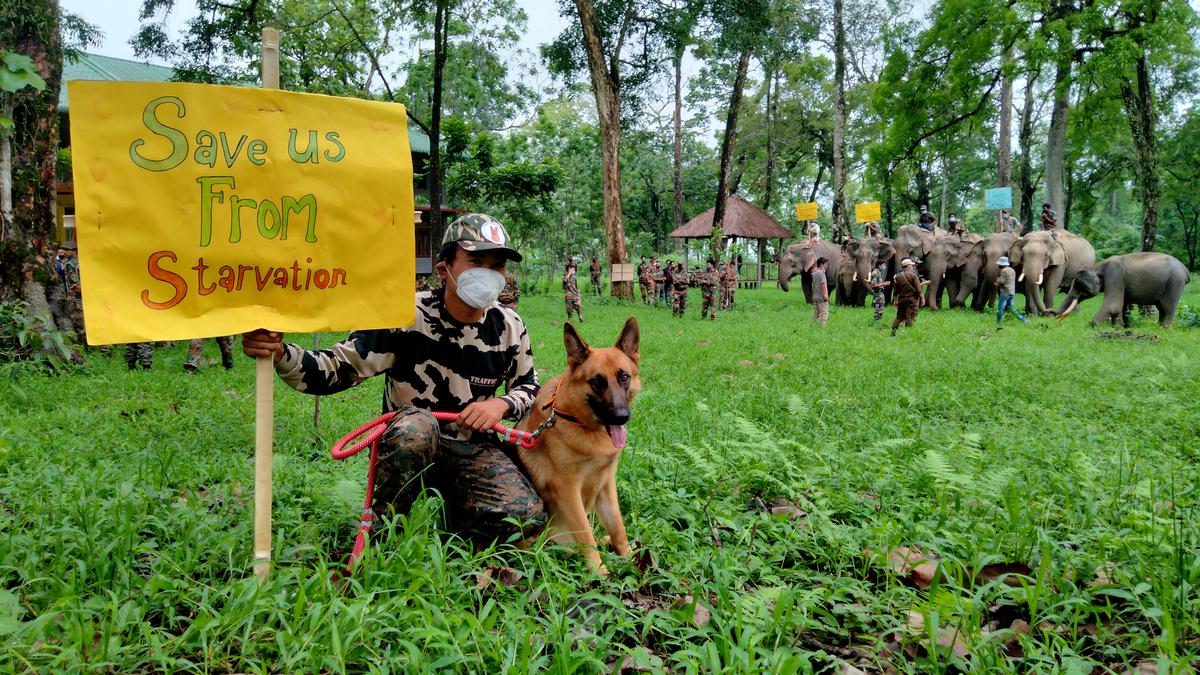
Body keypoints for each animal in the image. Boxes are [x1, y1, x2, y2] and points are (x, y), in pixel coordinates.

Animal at [520, 317, 643, 569]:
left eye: (624, 377)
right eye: (597, 381)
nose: (621, 417)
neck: (575, 419)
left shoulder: (606, 484)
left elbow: (618, 526)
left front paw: (628, 558)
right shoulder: (568, 489)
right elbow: (586, 535)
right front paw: (599, 570)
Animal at [1060, 251, 1190, 326]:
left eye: (1080, 288)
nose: (1054, 315)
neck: (1098, 265)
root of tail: (1185, 270)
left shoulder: (1115, 274)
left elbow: (1113, 305)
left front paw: (1092, 324)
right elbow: (1121, 306)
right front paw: (1120, 327)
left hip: (1175, 283)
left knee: (1167, 308)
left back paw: (1165, 329)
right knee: (1162, 309)